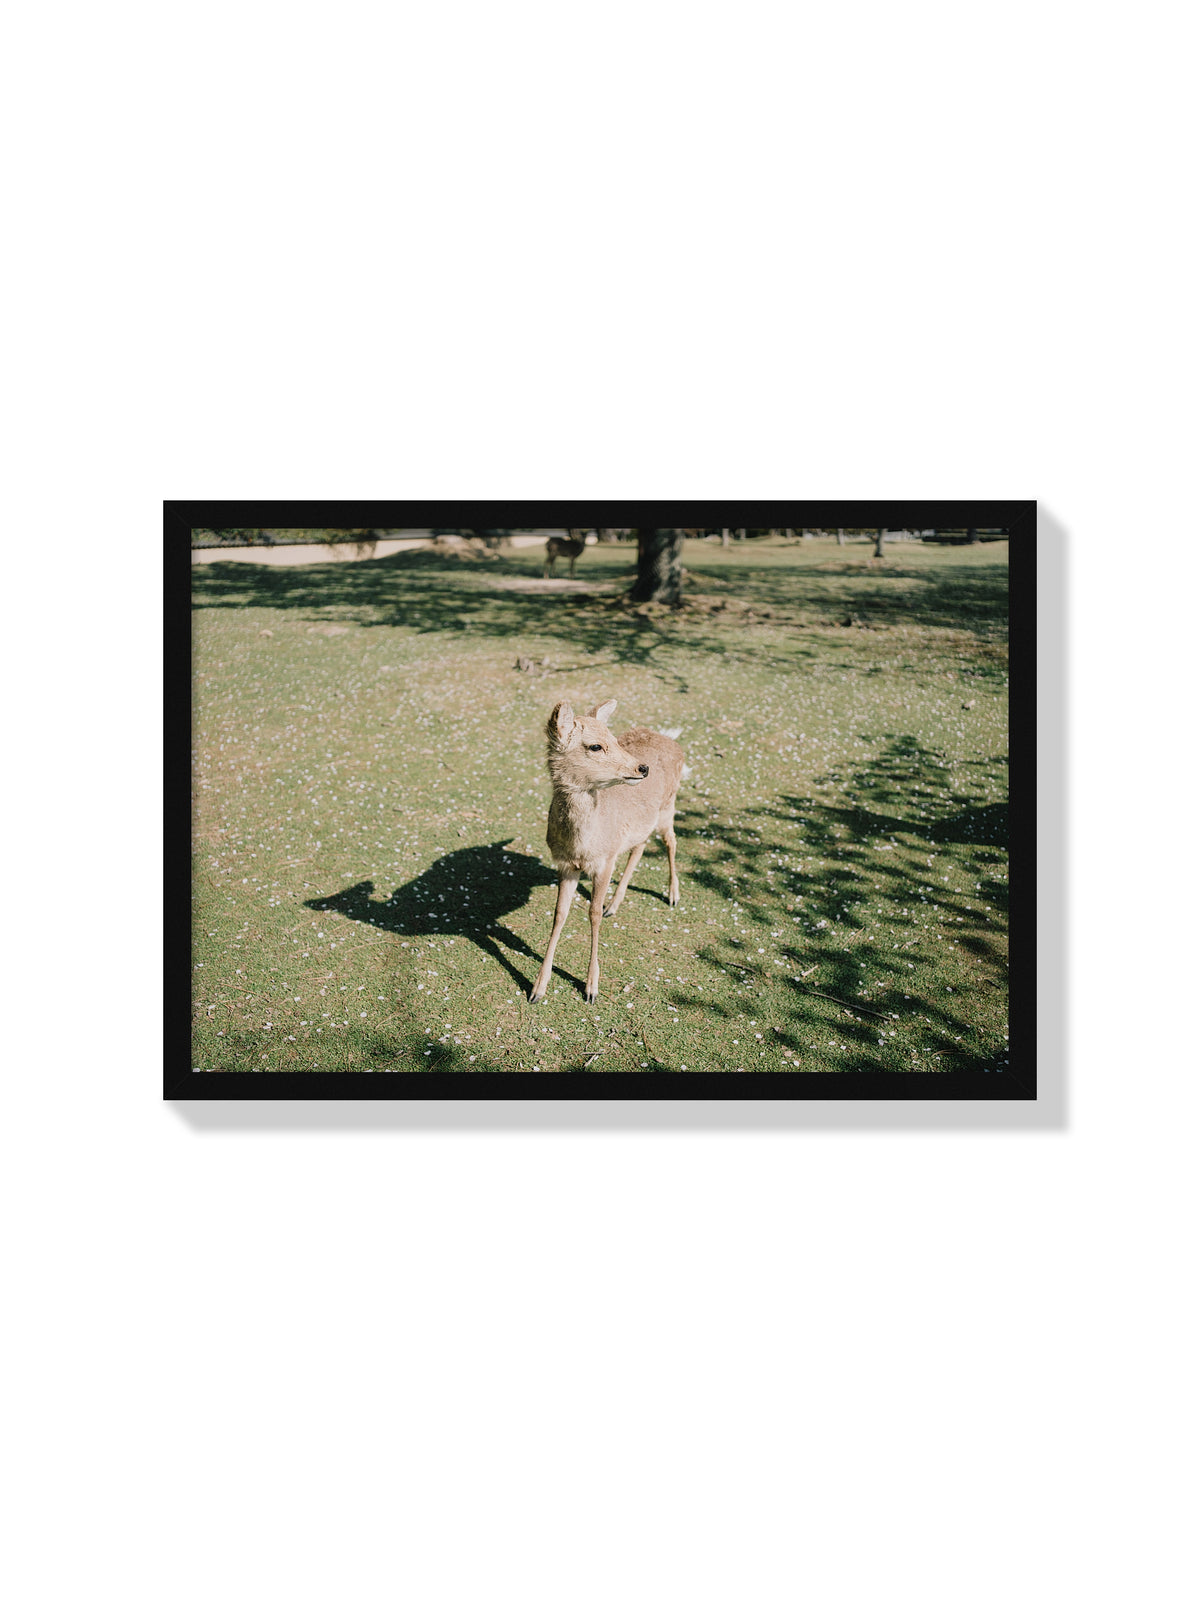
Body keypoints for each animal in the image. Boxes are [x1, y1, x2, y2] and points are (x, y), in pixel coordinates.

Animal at [530, 699, 684, 1004]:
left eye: (614, 739)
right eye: (595, 746)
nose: (642, 768)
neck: (583, 846)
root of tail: (674, 742)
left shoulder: (605, 861)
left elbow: (593, 914)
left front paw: (591, 987)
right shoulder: (565, 865)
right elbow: (559, 914)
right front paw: (537, 988)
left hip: (669, 805)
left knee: (671, 840)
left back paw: (672, 895)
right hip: (645, 821)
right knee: (640, 845)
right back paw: (615, 904)